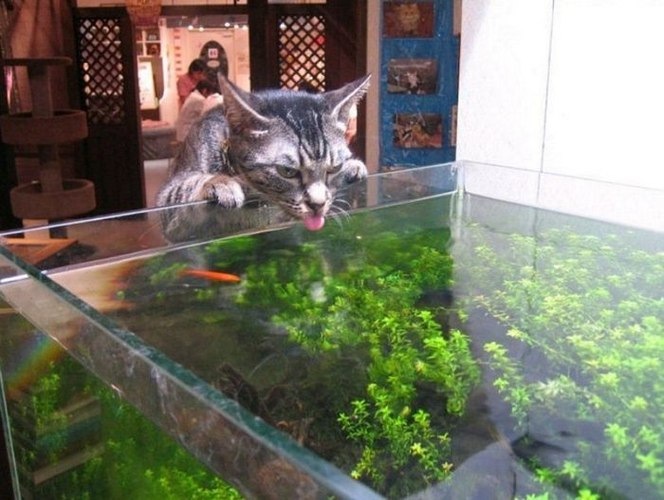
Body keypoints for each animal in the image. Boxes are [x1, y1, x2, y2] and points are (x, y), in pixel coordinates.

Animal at [156, 75, 371, 238]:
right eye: (287, 171)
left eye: (335, 168)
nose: (318, 205)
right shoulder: (167, 201)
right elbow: (188, 185)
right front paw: (220, 182)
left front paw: (353, 166)